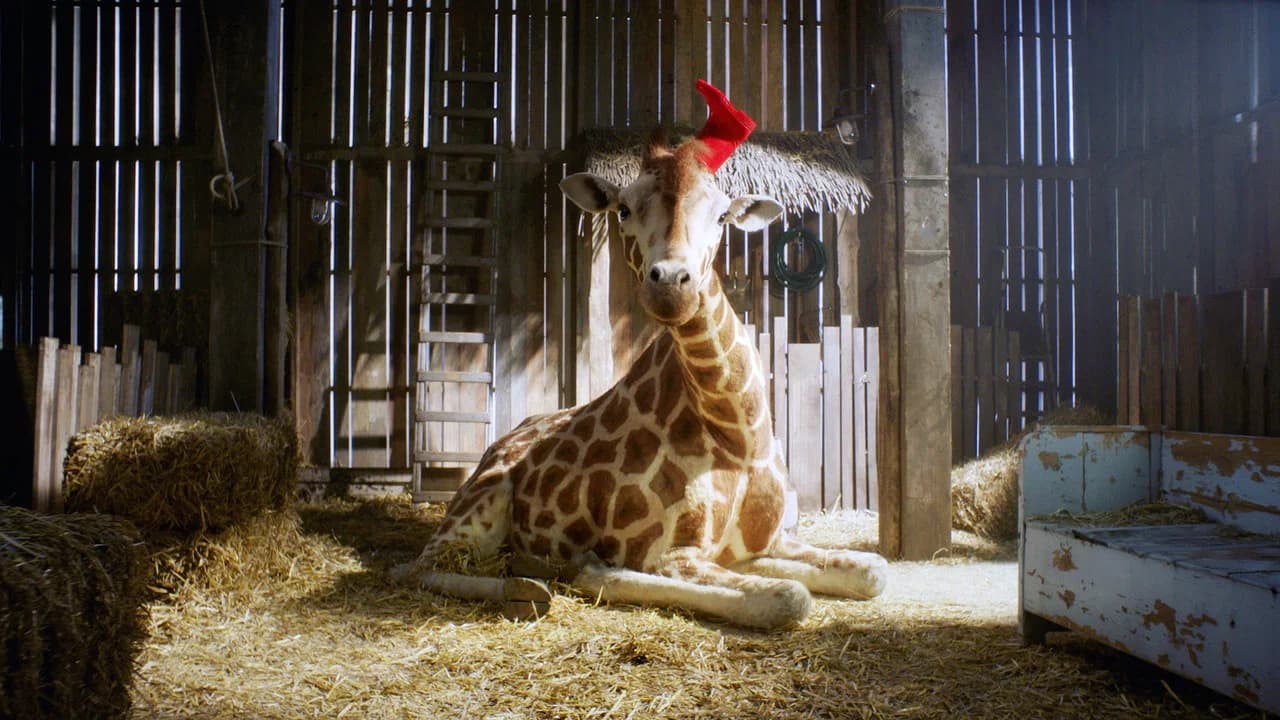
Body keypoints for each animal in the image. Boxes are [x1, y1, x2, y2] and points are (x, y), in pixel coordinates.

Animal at [395, 80, 887, 630]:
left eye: (722, 214)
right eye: (624, 209)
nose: (670, 283)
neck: (738, 431)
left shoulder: (769, 542)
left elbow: (873, 570)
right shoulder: (671, 554)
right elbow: (787, 597)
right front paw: (592, 570)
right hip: (479, 504)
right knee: (418, 567)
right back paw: (529, 587)